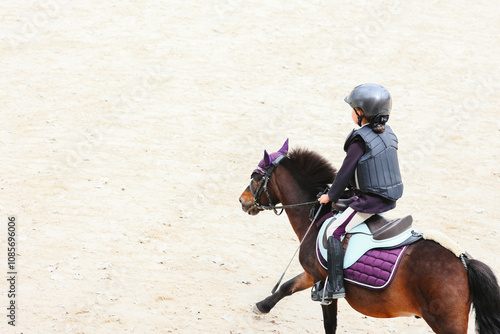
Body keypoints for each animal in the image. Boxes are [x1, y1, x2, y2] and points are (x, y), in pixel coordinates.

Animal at [238, 140, 500, 334]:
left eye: (256, 176)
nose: (243, 200)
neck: (316, 216)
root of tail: (464, 262)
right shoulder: (314, 274)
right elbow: (287, 286)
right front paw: (262, 306)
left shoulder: (324, 286)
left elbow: (329, 324)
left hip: (446, 322)